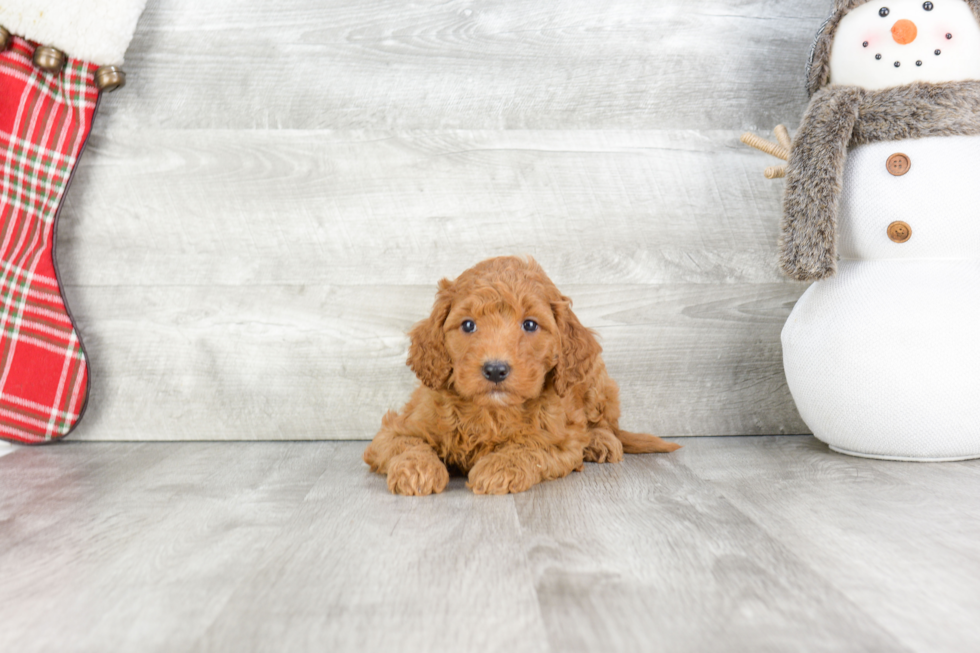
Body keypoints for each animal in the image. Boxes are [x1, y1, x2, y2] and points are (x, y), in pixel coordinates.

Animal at [364, 255, 676, 494]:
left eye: (530, 324)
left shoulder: (560, 441)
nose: (495, 369)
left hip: (597, 383)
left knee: (607, 424)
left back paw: (601, 441)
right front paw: (417, 470)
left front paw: (498, 468)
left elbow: (529, 446)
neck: (490, 412)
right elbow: (408, 444)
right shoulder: (397, 428)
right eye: (468, 325)